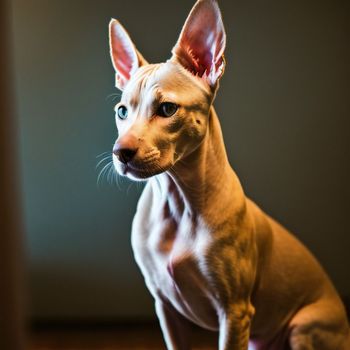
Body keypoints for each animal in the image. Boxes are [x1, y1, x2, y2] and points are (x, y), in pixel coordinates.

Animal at [108, 0, 348, 350]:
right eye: (122, 111)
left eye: (167, 109)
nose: (120, 153)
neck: (178, 205)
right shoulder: (166, 309)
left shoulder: (234, 312)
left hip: (305, 325)